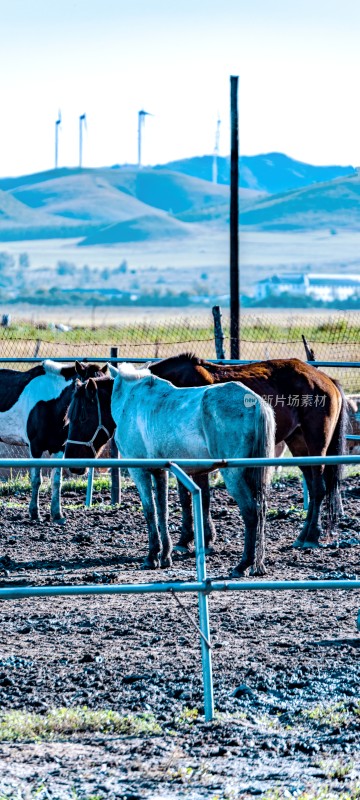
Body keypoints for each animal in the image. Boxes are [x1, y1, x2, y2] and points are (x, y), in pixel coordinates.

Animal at [0, 360, 107, 520]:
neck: (51, 404)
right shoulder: (35, 448)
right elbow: (36, 480)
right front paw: (34, 512)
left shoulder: (59, 448)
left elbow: (56, 481)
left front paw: (57, 513)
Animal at [64, 366, 274, 580]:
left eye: (81, 416)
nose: (72, 462)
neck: (128, 402)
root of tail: (254, 404)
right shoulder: (161, 471)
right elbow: (162, 511)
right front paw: (165, 555)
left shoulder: (139, 471)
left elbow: (150, 511)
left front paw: (152, 556)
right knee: (261, 511)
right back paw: (257, 564)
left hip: (235, 476)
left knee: (250, 512)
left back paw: (243, 565)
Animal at [150, 354, 348, 552]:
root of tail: (326, 379)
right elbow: (186, 499)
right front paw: (186, 539)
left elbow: (203, 498)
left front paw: (203, 539)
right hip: (299, 446)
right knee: (313, 489)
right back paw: (303, 536)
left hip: (316, 444)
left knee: (319, 489)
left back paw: (312, 536)